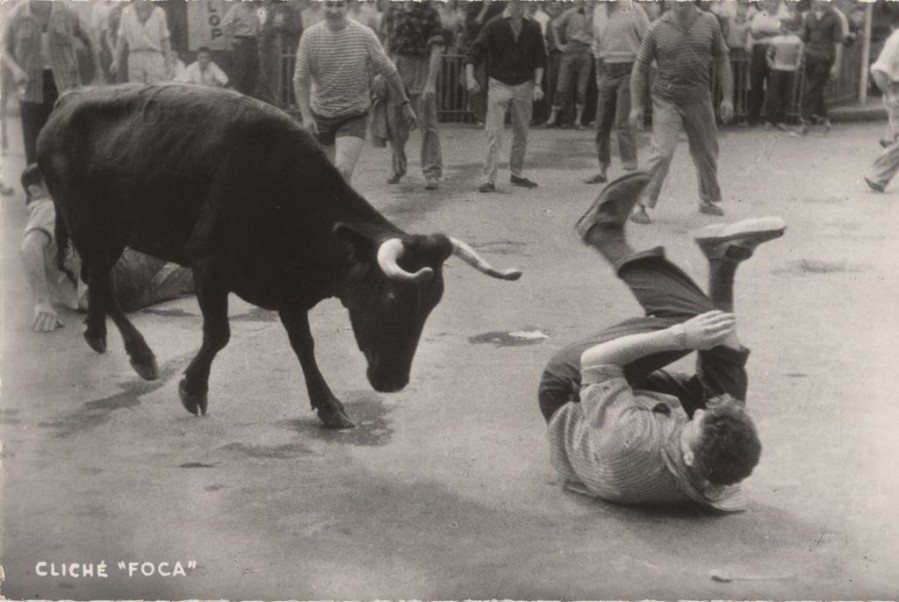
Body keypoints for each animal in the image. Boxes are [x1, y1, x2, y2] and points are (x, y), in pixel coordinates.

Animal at [38, 84, 524, 426]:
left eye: (430, 306)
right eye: (391, 298)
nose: (393, 381)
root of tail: (68, 99)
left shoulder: (290, 287)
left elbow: (304, 345)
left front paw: (329, 406)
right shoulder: (207, 265)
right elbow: (218, 335)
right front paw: (193, 390)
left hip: (111, 231)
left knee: (97, 277)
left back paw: (97, 334)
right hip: (88, 223)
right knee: (100, 279)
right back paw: (140, 355)